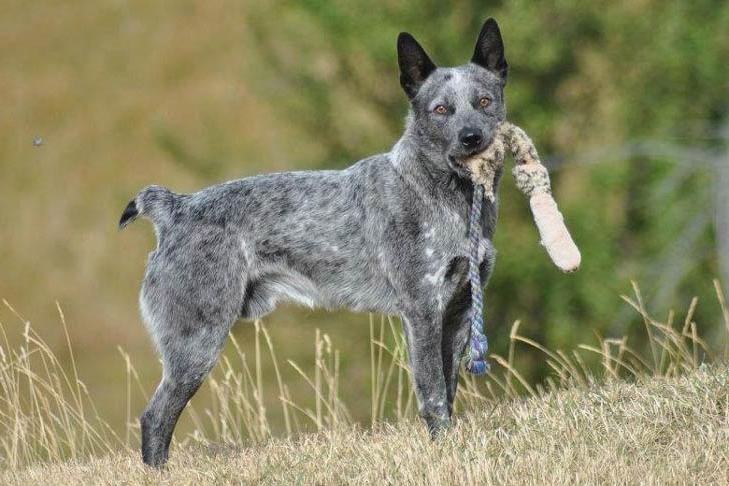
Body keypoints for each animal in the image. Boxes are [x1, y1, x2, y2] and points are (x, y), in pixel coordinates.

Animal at [121, 19, 506, 468]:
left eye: (484, 101)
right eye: (440, 110)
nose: (472, 138)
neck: (443, 194)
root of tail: (175, 208)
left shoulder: (460, 309)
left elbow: (448, 389)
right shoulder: (422, 310)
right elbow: (432, 392)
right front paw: (442, 451)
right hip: (196, 345)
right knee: (155, 418)